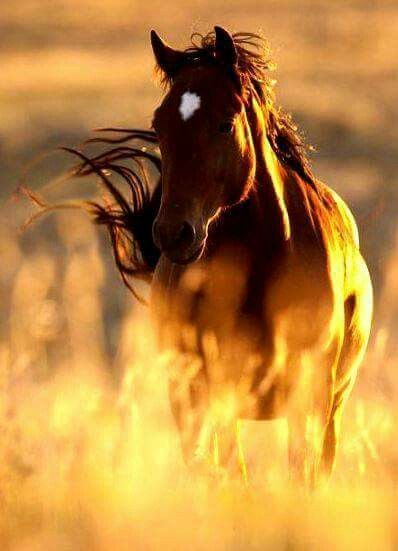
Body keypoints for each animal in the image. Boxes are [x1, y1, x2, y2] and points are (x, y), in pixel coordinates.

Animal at [66, 27, 374, 484]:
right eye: (158, 124)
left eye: (225, 124)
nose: (173, 233)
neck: (265, 268)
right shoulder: (213, 392)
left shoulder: (310, 398)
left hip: (330, 405)